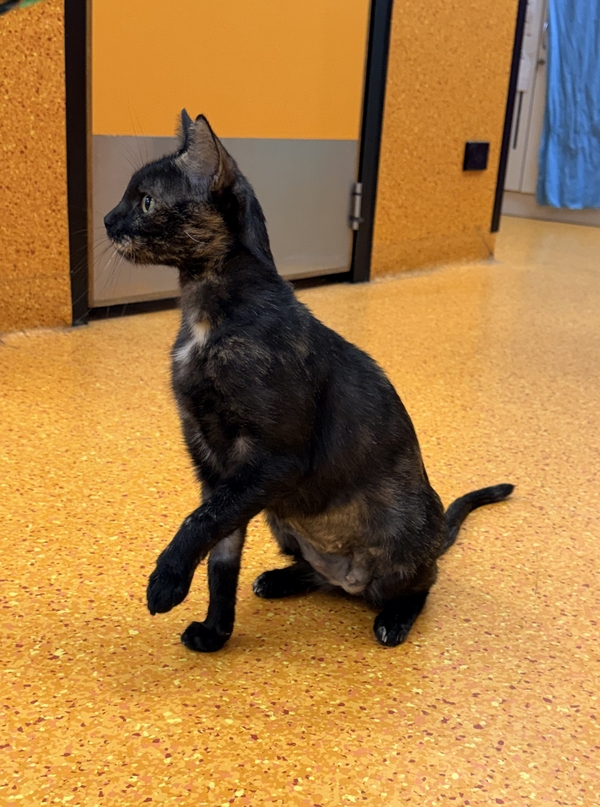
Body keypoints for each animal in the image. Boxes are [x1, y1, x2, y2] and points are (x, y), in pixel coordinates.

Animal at [104, 111, 514, 652]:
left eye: (146, 201)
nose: (107, 220)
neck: (204, 317)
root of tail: (354, 577)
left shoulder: (271, 460)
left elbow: (202, 521)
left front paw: (167, 580)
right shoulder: (215, 466)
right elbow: (222, 555)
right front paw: (215, 632)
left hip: (396, 528)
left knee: (424, 584)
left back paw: (394, 619)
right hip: (279, 517)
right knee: (322, 576)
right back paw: (281, 578)